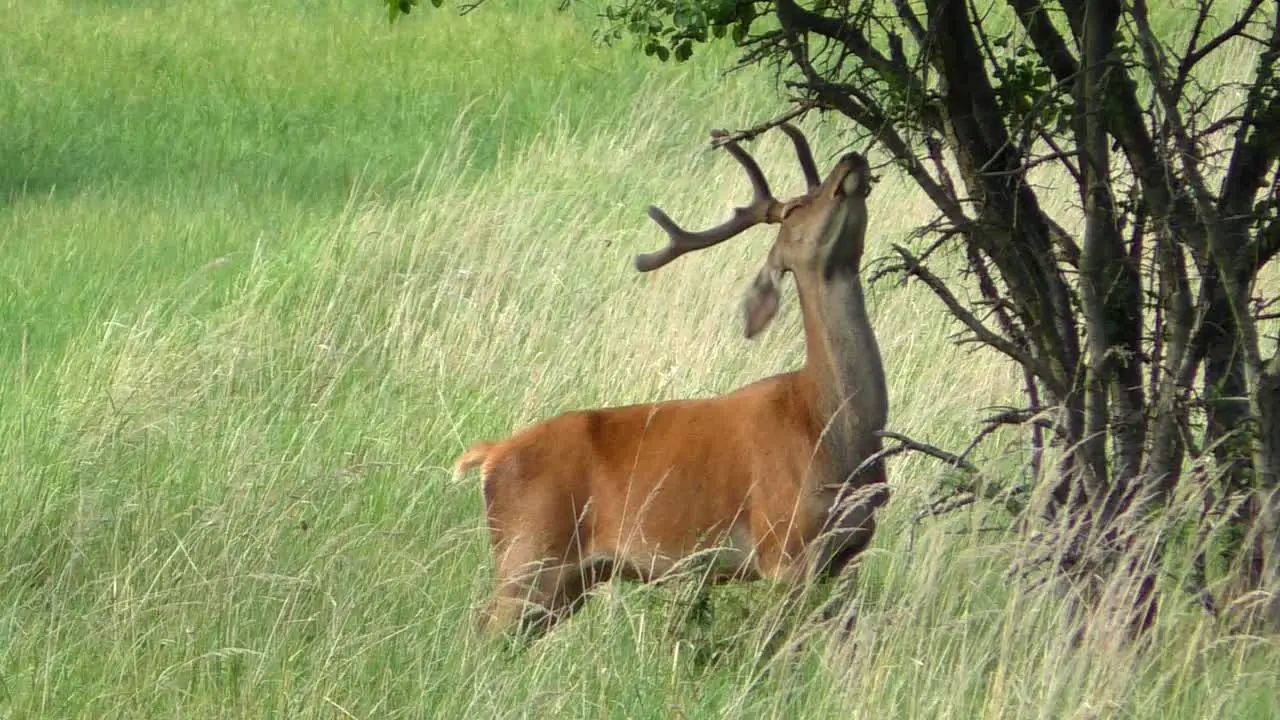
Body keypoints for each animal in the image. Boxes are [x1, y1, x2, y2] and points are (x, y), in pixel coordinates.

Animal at [453, 122, 890, 638]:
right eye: (797, 208)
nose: (851, 161)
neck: (828, 423)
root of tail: (491, 454)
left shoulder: (849, 550)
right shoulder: (785, 546)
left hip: (569, 580)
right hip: (528, 554)